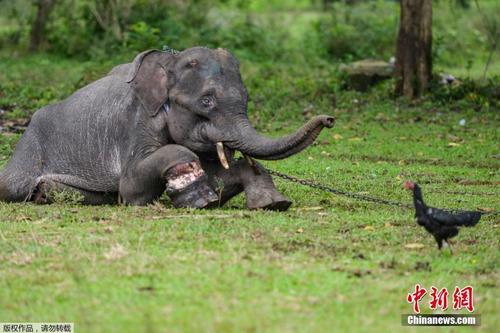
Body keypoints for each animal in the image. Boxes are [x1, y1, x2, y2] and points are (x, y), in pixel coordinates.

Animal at [0, 46, 336, 210]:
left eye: (247, 98)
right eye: (206, 101)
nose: (329, 119)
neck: (168, 61)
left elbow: (218, 175)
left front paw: (274, 204)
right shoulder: (136, 122)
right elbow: (131, 188)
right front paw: (198, 199)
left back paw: (46, 194)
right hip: (28, 148)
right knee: (12, 187)